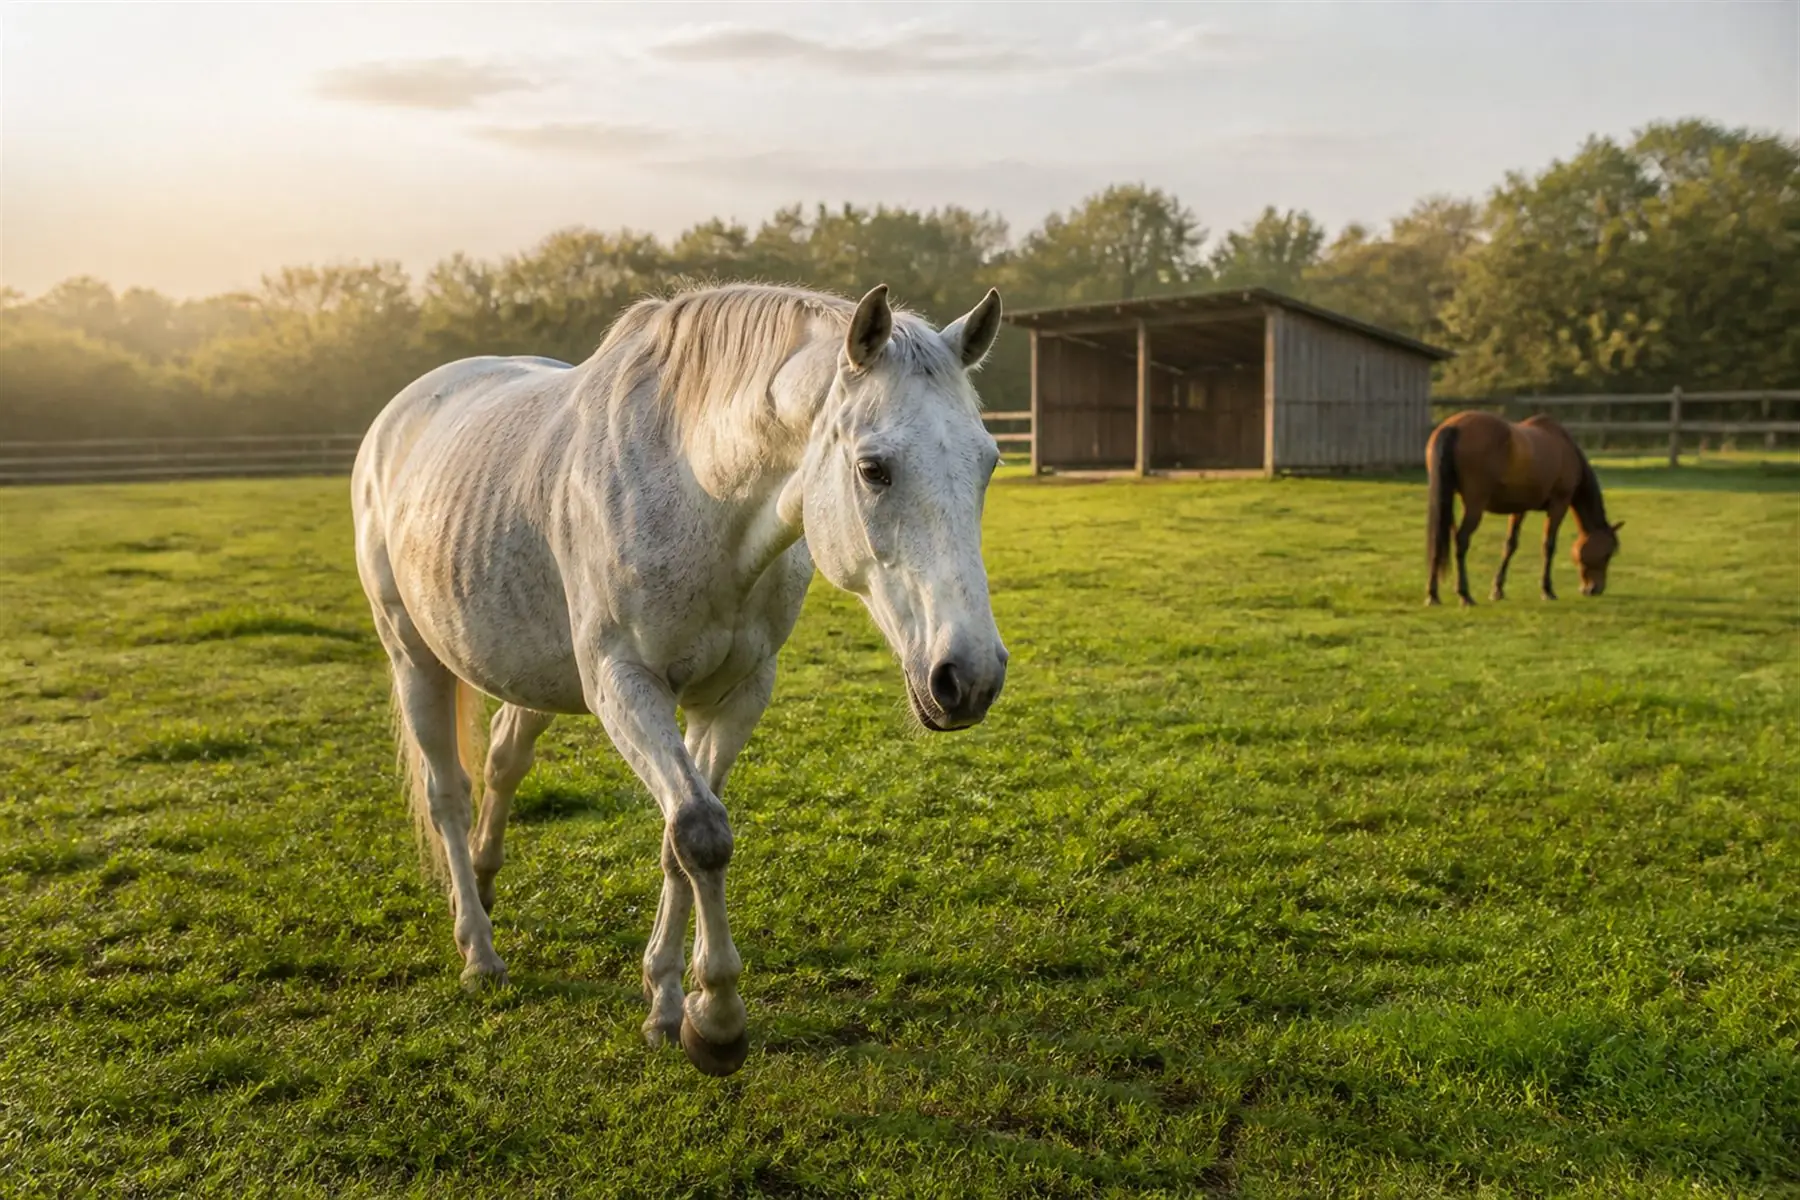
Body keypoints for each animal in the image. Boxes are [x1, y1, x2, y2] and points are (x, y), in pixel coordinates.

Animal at [350, 281, 1009, 1077]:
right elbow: (699, 833)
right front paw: (717, 1022)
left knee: (504, 763)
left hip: (527, 668)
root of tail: (400, 413)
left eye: (987, 464)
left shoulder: (736, 694)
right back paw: (478, 951)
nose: (969, 676)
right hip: (413, 654)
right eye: (873, 469)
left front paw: (669, 1002)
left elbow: (679, 840)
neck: (698, 491)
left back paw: (478, 882)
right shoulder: (624, 685)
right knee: (446, 792)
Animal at [1425, 410, 1623, 607]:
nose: (1594, 589)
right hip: (1475, 506)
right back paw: (1464, 594)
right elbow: (1548, 545)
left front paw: (1497, 590)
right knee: (1461, 540)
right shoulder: (1559, 504)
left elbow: (1510, 545)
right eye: (1607, 554)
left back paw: (1433, 595)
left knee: (1438, 540)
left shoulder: (1520, 508)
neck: (1565, 447)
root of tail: (1453, 427)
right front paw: (1547, 590)